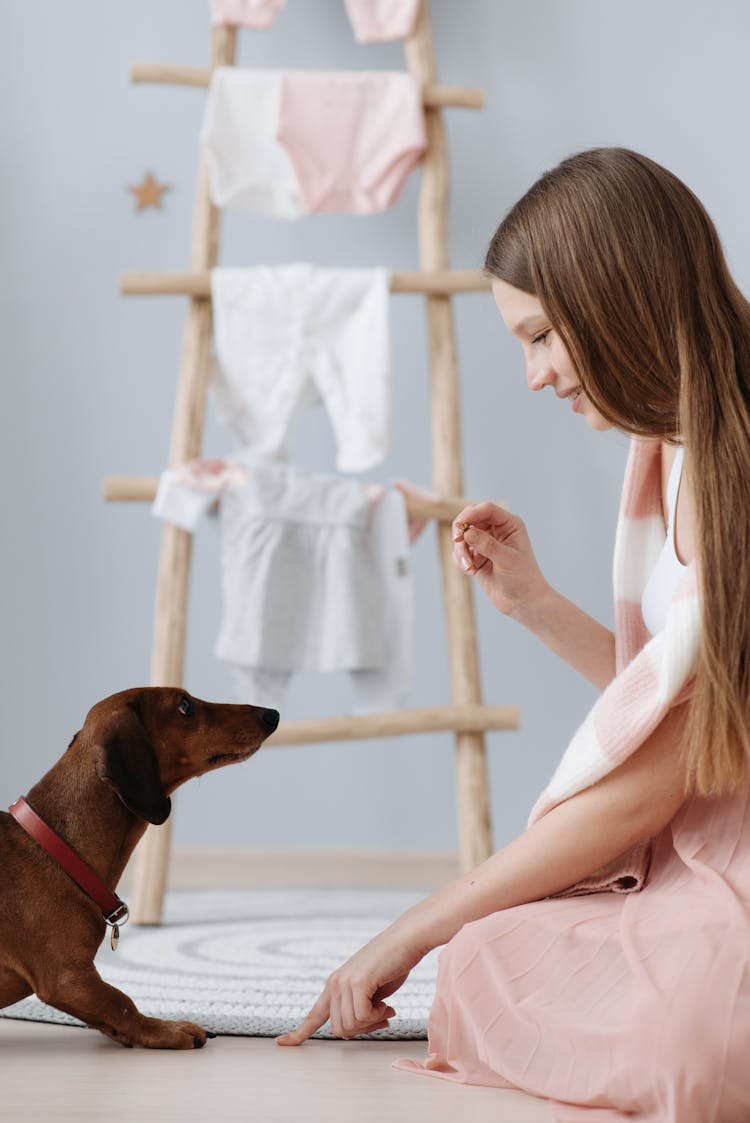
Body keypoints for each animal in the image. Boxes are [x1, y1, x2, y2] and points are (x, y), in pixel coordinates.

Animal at [0, 687, 278, 1046]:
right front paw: (166, 1029)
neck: (55, 846)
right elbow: (120, 1002)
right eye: (184, 706)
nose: (272, 715)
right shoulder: (66, 976)